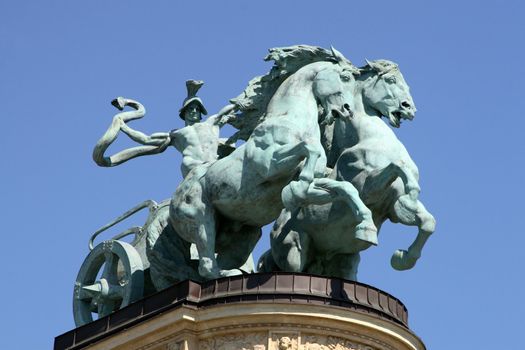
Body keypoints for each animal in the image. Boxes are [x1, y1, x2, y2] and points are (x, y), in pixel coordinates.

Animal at [170, 48, 374, 278]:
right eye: (345, 77)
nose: (348, 109)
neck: (289, 118)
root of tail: (175, 198)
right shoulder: (269, 164)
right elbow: (308, 149)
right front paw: (296, 189)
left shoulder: (316, 183)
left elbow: (344, 187)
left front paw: (366, 227)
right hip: (201, 220)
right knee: (206, 266)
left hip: (245, 234)